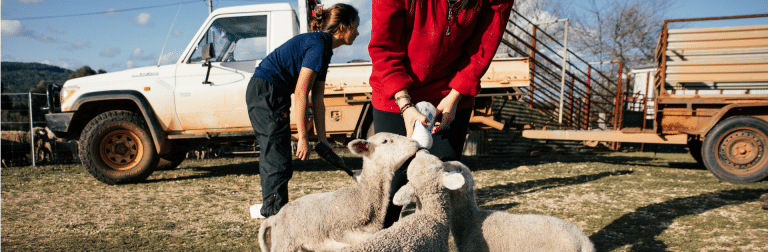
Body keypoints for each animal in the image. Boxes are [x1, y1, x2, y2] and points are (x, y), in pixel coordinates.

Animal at [260, 132, 424, 252]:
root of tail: (274, 218)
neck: (362, 198)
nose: (415, 142)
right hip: (284, 244)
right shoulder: (340, 230)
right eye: (385, 141)